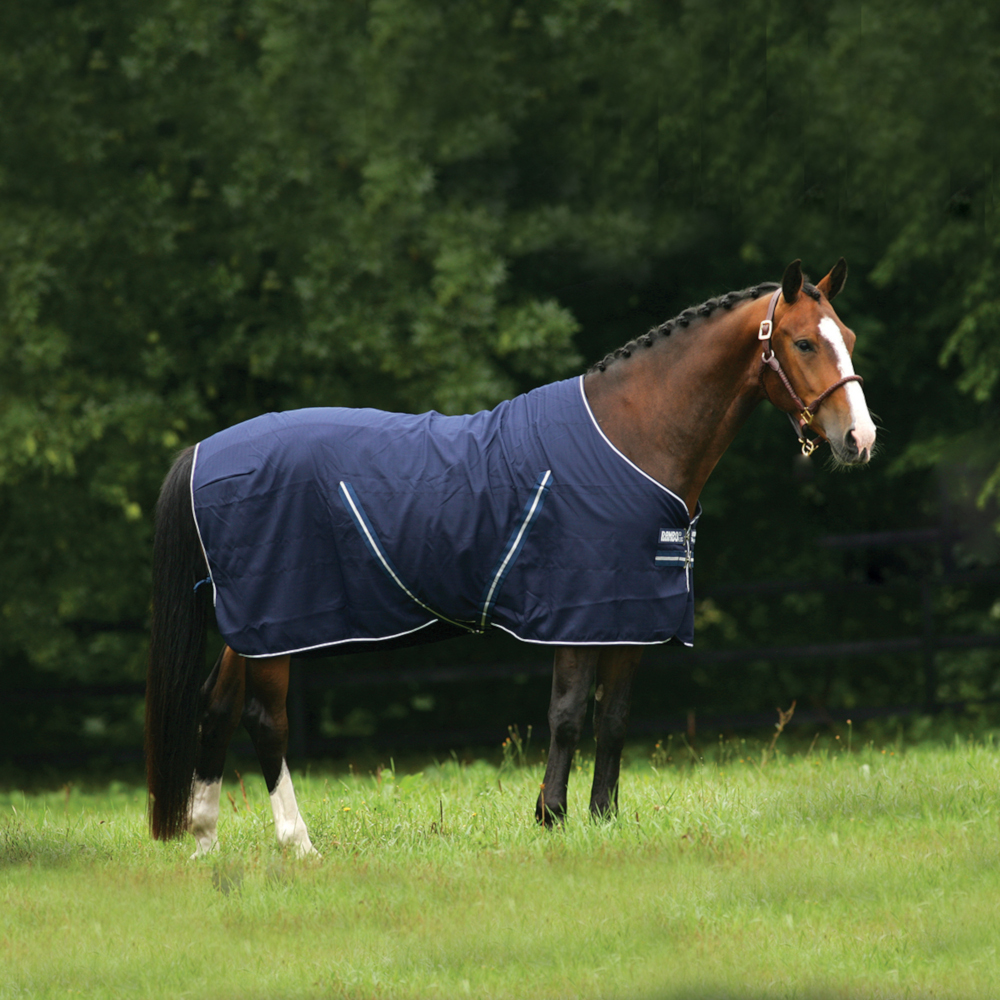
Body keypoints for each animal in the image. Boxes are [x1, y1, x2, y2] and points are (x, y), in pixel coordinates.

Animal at [145, 259, 876, 857]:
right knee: (266, 719)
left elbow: (613, 721)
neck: (631, 439)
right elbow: (567, 716)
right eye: (803, 342)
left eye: (849, 337)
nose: (859, 438)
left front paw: (604, 820)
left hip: (250, 626)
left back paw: (204, 840)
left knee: (216, 706)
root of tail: (206, 451)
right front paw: (550, 818)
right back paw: (298, 845)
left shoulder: (631, 616)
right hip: (280, 624)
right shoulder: (581, 612)